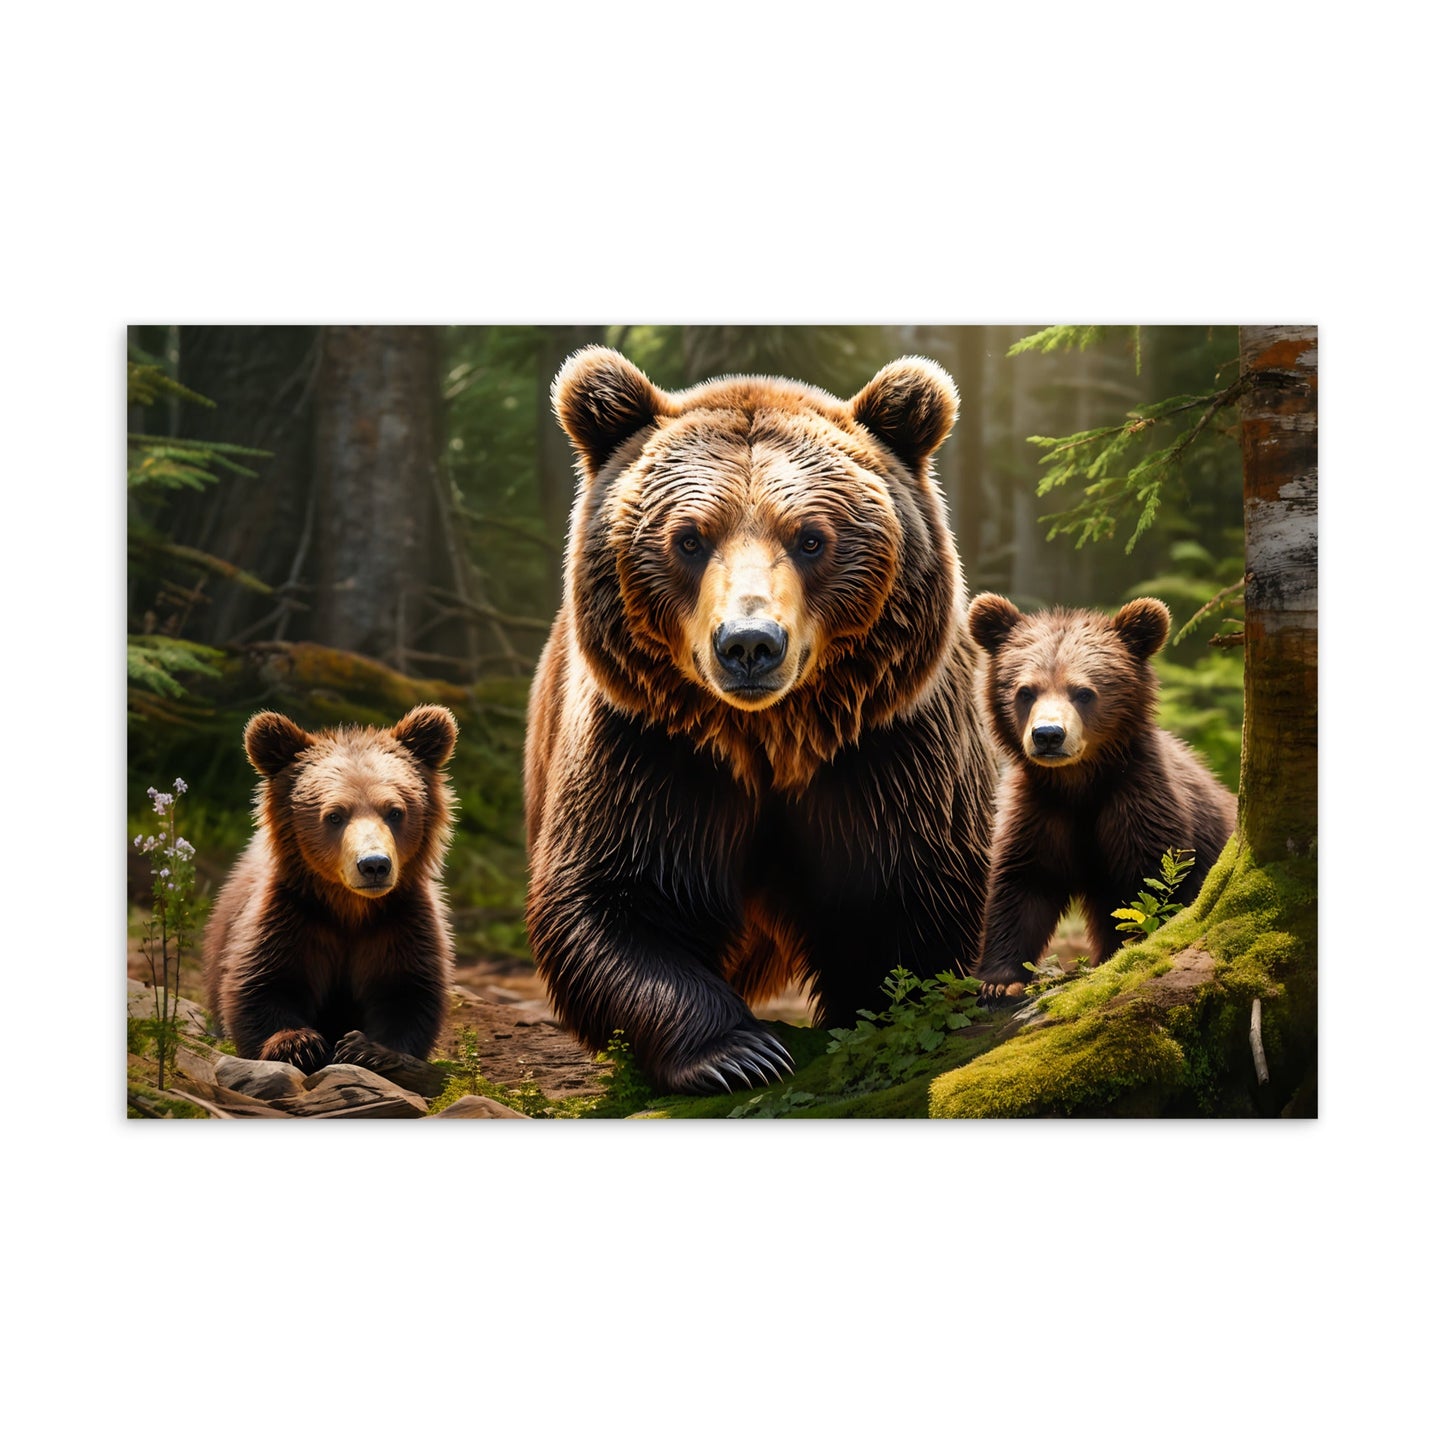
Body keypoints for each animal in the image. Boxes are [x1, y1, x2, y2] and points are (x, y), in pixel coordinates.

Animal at [203, 704, 459, 1074]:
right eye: (335, 815)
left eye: (395, 811)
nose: (374, 864)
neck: (349, 907)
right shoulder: (292, 915)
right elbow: (262, 983)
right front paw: (298, 1044)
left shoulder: (399, 921)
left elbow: (408, 991)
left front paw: (367, 1049)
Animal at [524, 346, 998, 1094]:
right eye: (689, 539)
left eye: (811, 538)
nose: (749, 643)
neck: (770, 736)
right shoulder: (650, 747)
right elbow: (611, 897)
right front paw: (738, 1052)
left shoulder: (888, 748)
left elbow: (911, 899)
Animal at [965, 593, 1238, 999]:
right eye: (1025, 691)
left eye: (1083, 692)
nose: (1048, 735)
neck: (1079, 782)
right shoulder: (1040, 809)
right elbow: (1023, 885)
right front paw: (1000, 980)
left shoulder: (1139, 804)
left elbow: (1152, 892)